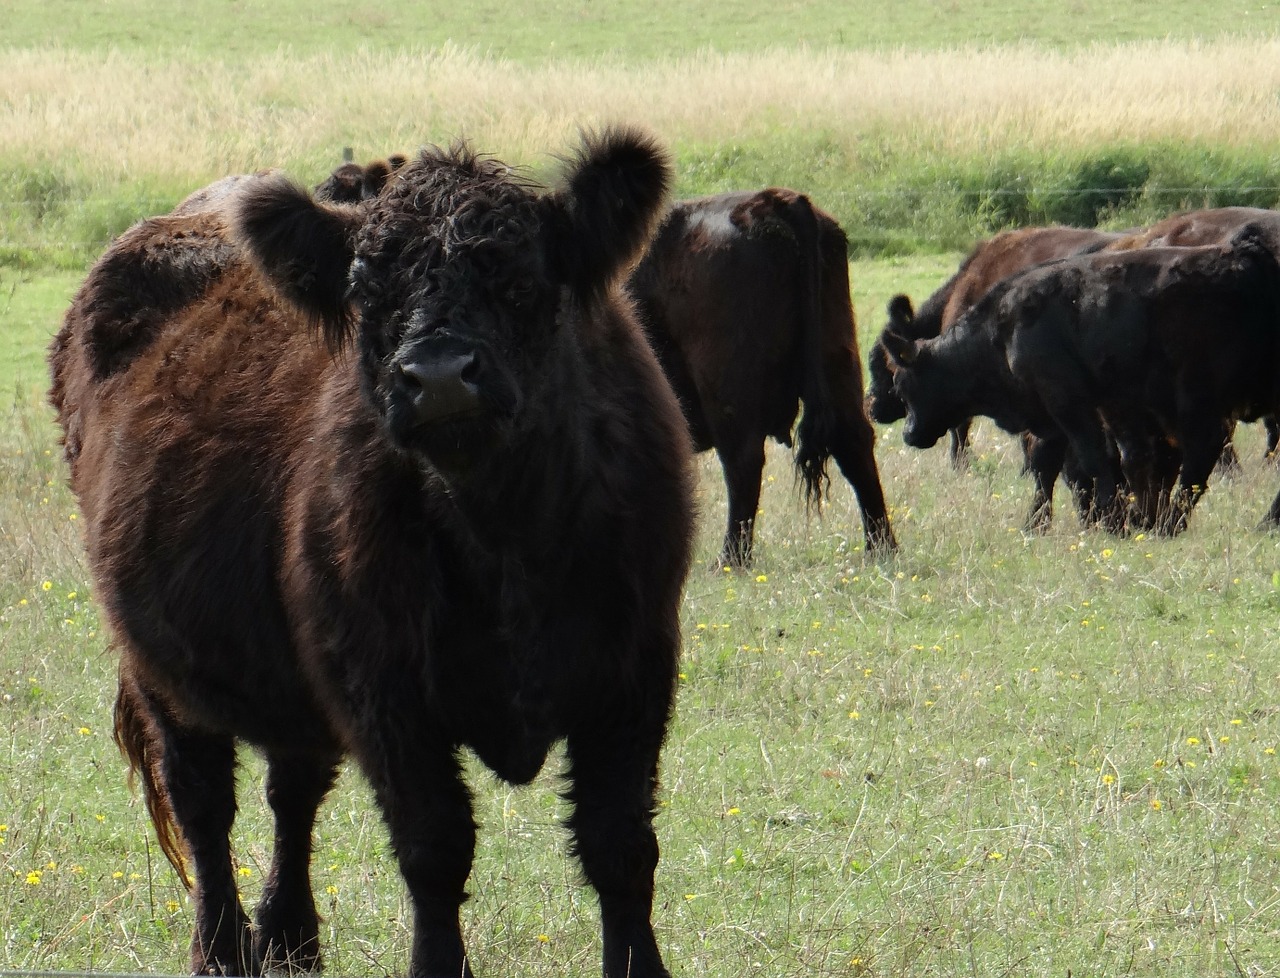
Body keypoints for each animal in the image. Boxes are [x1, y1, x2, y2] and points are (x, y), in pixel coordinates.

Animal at [49, 128, 696, 978]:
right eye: (364, 285)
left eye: (521, 273)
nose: (440, 377)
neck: (504, 535)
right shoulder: (383, 690)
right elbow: (435, 850)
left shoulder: (634, 672)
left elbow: (619, 847)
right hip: (161, 669)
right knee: (205, 807)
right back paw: (221, 950)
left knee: (291, 795)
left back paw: (290, 940)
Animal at [624, 186, 896, 565]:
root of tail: (770, 200)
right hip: (838, 361)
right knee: (854, 443)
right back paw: (880, 549)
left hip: (727, 393)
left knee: (743, 464)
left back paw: (729, 560)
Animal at [885, 224, 1280, 535]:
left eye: (902, 385)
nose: (908, 434)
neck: (1004, 329)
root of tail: (1243, 255)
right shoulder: (1080, 411)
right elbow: (1058, 464)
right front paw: (1040, 523)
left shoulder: (1069, 401)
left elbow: (1094, 460)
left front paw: (1113, 519)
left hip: (1197, 395)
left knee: (1204, 450)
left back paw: (1174, 523)